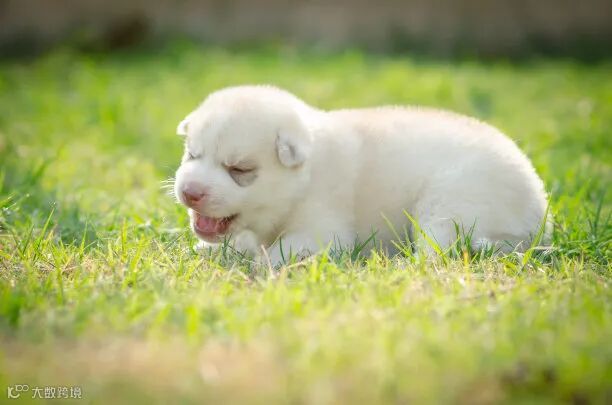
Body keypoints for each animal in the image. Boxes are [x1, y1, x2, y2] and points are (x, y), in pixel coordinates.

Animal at [174, 85, 548, 265]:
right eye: (192, 154)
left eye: (239, 170)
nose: (189, 192)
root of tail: (540, 209)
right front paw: (208, 251)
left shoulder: (322, 229)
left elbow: (283, 250)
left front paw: (260, 266)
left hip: (450, 206)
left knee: (436, 254)